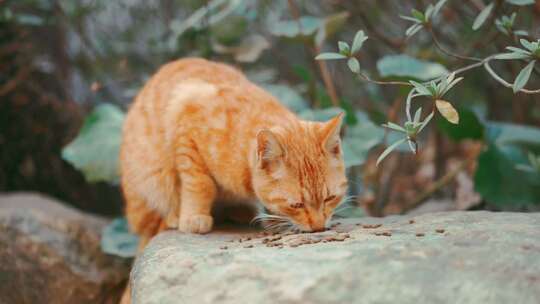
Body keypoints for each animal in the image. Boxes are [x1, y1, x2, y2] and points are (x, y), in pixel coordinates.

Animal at [119, 58, 348, 248]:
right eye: (297, 205)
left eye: (330, 198)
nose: (318, 228)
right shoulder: (186, 124)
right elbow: (200, 183)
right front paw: (194, 216)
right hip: (150, 184)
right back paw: (175, 215)